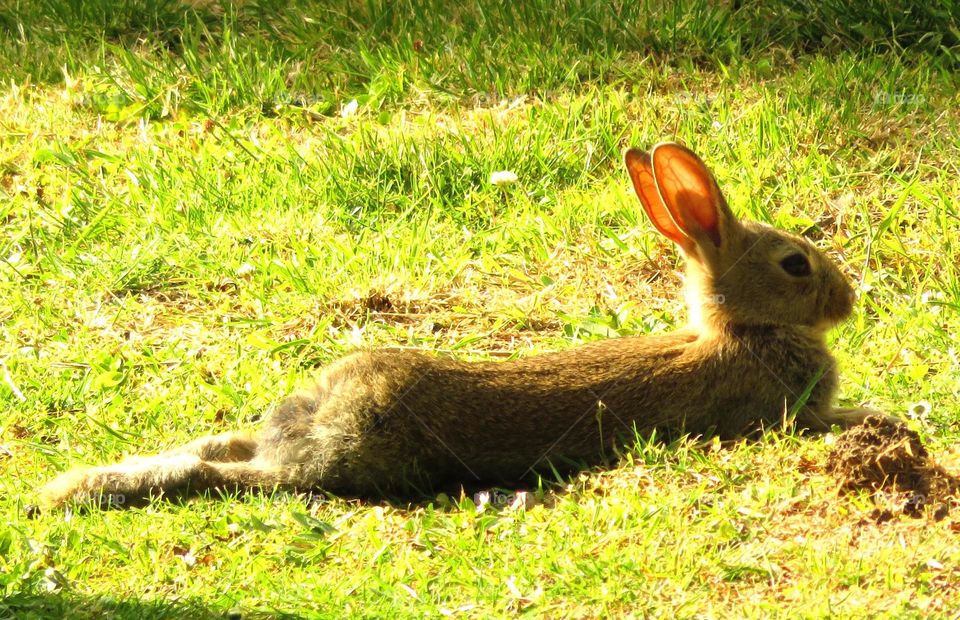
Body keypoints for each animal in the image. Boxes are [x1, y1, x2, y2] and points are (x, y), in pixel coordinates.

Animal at [39, 142, 876, 508]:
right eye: (795, 265)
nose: (847, 301)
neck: (742, 331)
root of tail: (319, 414)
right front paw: (879, 420)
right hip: (345, 462)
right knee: (231, 474)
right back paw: (77, 492)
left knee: (218, 447)